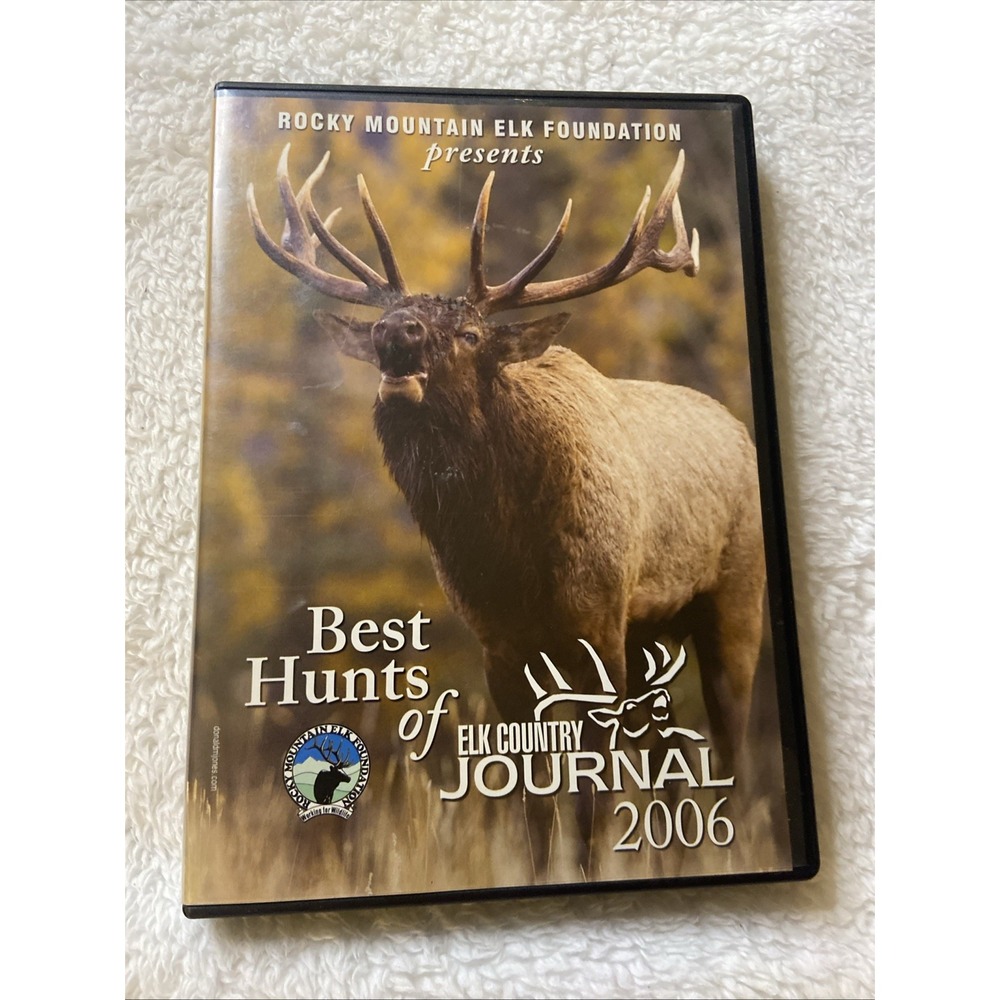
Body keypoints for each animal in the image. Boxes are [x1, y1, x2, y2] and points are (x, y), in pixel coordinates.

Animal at [248, 144, 766, 871]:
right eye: (392, 322)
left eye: (469, 333)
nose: (393, 329)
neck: (510, 553)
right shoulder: (500, 648)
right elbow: (533, 803)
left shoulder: (598, 634)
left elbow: (590, 799)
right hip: (653, 636)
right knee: (670, 763)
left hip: (734, 601)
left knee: (730, 756)